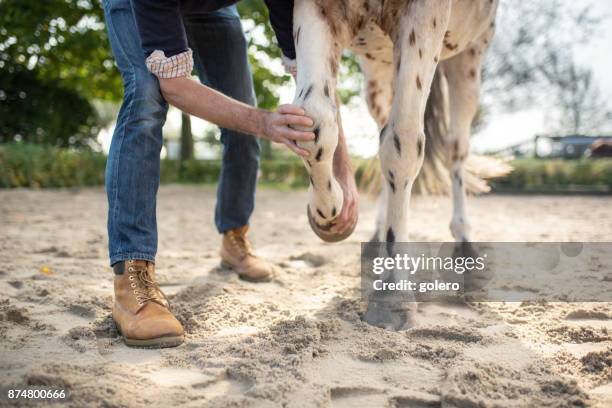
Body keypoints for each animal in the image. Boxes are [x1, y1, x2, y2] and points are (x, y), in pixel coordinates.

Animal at [290, 0, 510, 330]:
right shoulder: (317, 10)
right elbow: (315, 121)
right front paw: (329, 213)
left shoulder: (424, 16)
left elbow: (402, 143)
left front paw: (392, 292)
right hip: (378, 71)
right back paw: (375, 235)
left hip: (468, 57)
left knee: (456, 149)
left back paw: (464, 242)